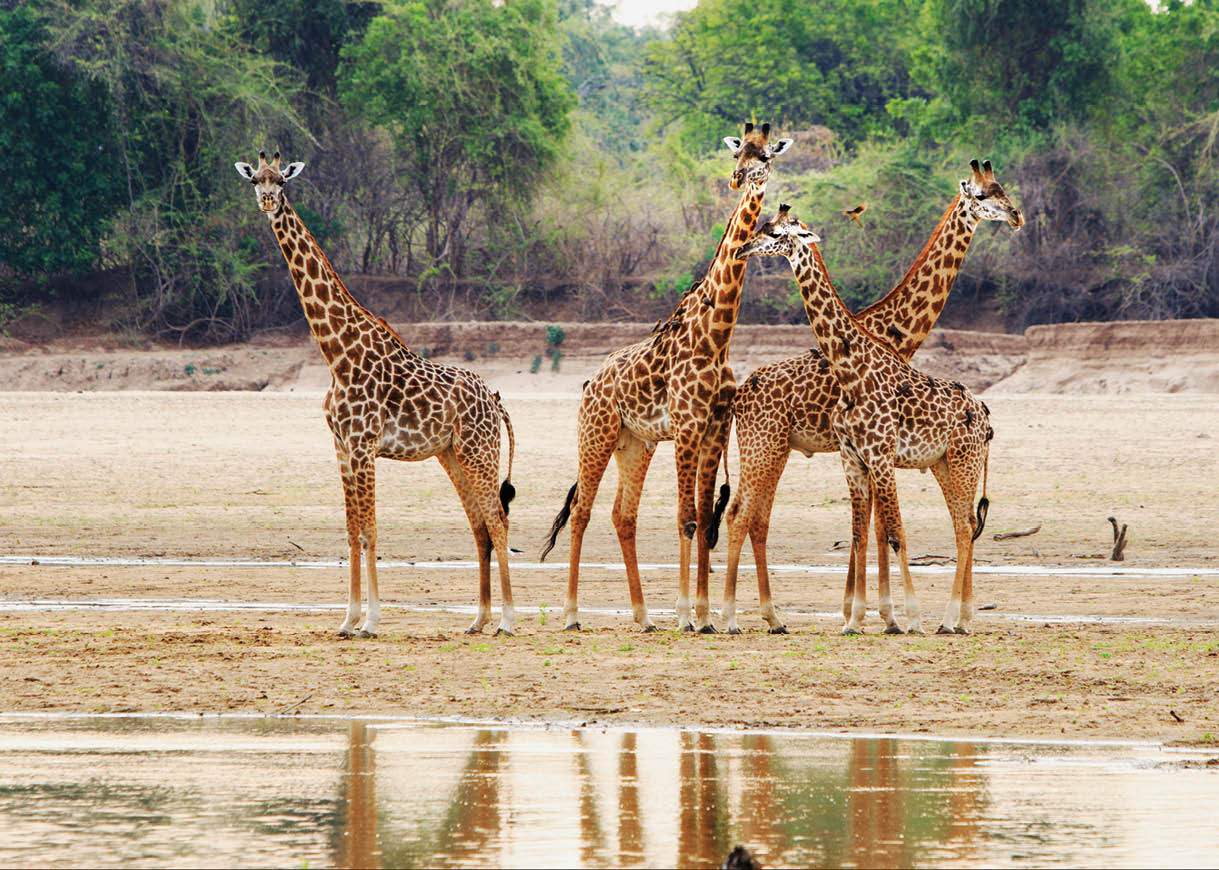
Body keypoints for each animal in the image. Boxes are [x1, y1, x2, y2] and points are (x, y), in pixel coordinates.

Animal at [234, 151, 517, 637]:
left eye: (282, 182)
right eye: (255, 180)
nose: (268, 201)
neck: (335, 352)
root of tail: (495, 399)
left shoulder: (364, 444)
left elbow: (370, 531)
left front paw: (371, 620)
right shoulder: (341, 445)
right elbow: (351, 530)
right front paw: (347, 619)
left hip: (480, 450)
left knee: (497, 521)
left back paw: (508, 620)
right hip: (452, 454)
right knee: (480, 525)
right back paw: (478, 619)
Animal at [538, 123, 793, 633]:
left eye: (765, 157)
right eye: (739, 152)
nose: (738, 179)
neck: (717, 334)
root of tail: (589, 383)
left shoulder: (714, 427)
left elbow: (703, 515)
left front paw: (705, 614)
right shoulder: (687, 426)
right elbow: (686, 518)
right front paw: (685, 615)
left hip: (635, 443)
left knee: (623, 515)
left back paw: (642, 616)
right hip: (596, 434)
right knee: (581, 511)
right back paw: (572, 614)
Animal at [721, 160, 1022, 633]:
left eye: (999, 190)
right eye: (982, 194)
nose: (1016, 216)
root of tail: (740, 393)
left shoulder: (876, 454)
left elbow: (879, 530)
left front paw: (880, 614)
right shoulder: (859, 453)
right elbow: (874, 530)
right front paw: (873, 614)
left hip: (790, 450)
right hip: (765, 445)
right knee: (741, 515)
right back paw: (728, 616)